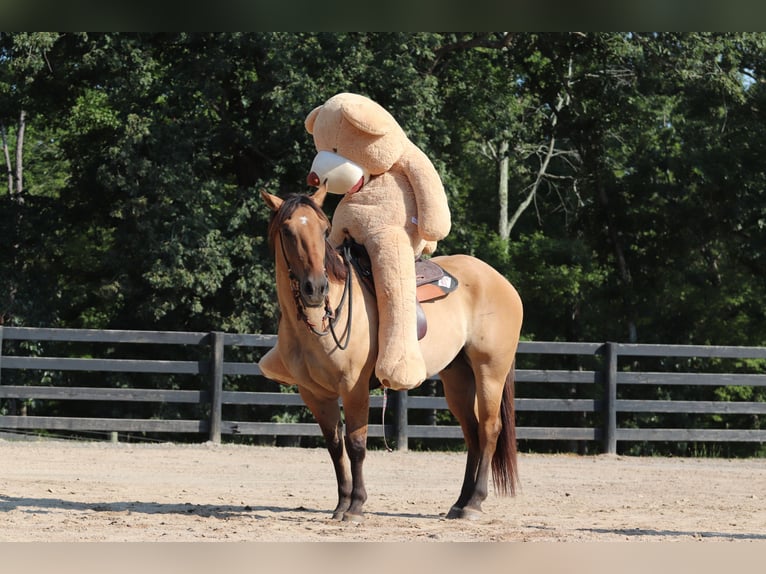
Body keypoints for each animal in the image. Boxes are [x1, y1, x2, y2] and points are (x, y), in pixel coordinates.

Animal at [260, 191, 524, 524]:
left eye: (323, 229)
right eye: (287, 231)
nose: (316, 289)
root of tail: (501, 281)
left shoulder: (354, 388)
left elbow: (356, 445)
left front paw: (355, 506)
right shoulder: (315, 394)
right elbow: (335, 447)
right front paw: (340, 505)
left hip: (490, 370)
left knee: (489, 430)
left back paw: (474, 503)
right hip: (457, 378)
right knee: (473, 433)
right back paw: (459, 503)